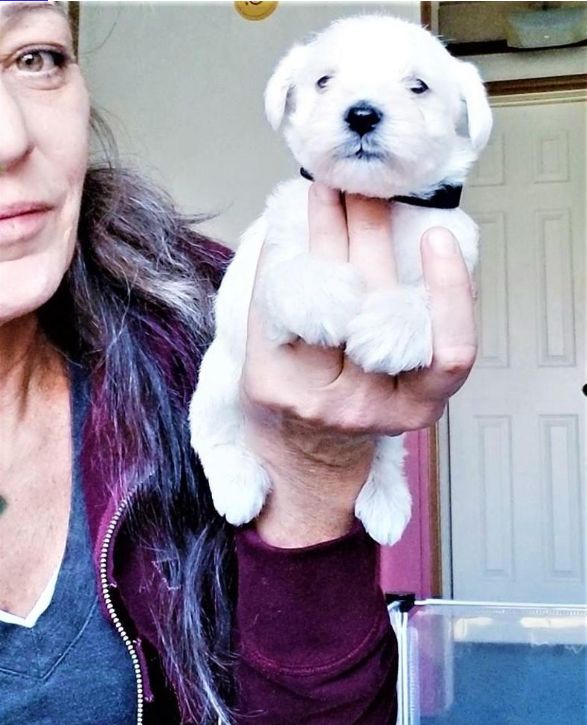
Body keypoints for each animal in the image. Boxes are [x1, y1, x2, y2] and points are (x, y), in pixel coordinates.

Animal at [189, 15, 492, 545]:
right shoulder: (274, 252)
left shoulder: (450, 251)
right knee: (213, 435)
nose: (363, 114)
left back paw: (386, 497)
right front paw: (320, 293)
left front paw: (394, 326)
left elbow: (424, 296)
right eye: (324, 81)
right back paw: (238, 482)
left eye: (417, 86)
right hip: (218, 380)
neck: (380, 202)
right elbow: (290, 268)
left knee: (386, 453)